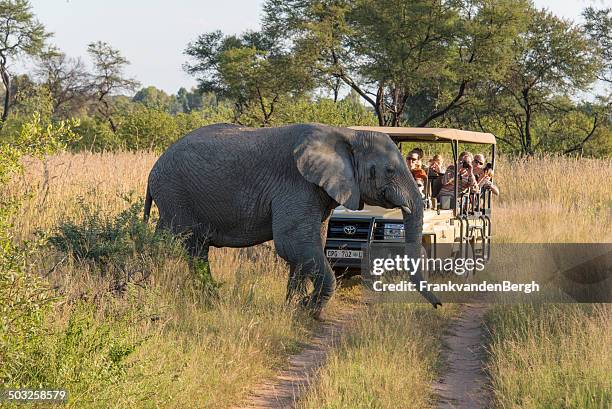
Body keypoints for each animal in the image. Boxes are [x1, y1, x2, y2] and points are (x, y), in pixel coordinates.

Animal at [143, 122, 440, 318]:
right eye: (389, 170)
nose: (439, 305)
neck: (348, 134)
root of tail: (153, 170)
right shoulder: (296, 184)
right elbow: (295, 244)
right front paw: (307, 310)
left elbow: (306, 247)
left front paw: (292, 308)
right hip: (175, 195)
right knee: (177, 244)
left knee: (190, 249)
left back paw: (205, 301)